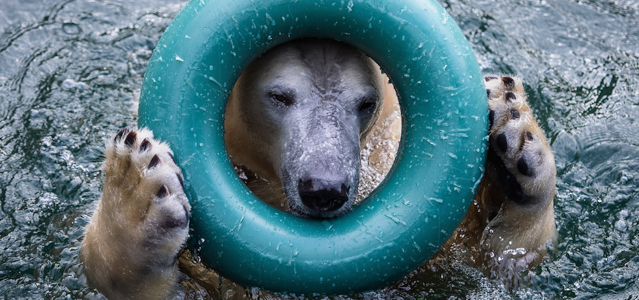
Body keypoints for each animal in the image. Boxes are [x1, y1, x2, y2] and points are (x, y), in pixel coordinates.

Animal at [82, 38, 556, 298]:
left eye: (365, 102)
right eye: (279, 96)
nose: (323, 189)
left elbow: (491, 263)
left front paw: (514, 135)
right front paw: (138, 187)